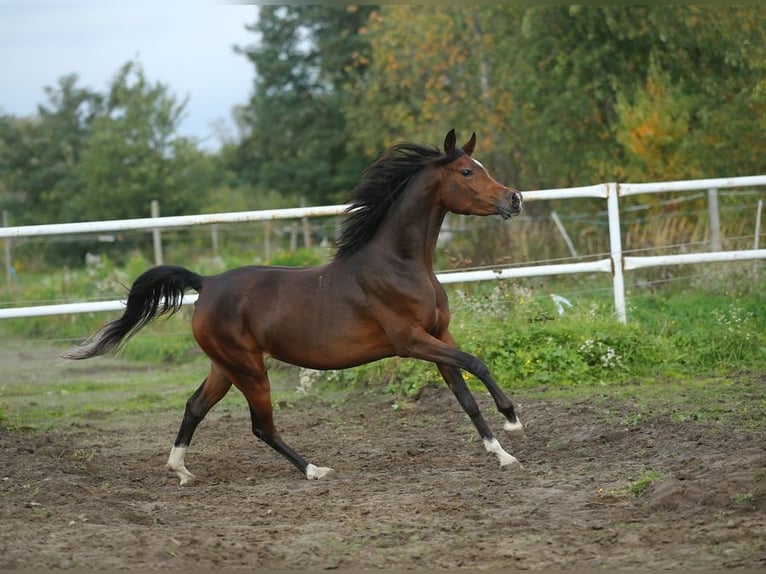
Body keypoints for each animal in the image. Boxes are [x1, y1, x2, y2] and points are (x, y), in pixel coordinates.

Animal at [63, 130, 524, 486]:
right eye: (467, 172)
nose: (515, 199)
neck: (399, 265)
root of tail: (206, 283)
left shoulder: (438, 335)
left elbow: (464, 396)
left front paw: (502, 455)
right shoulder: (411, 341)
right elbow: (477, 362)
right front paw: (513, 419)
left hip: (225, 367)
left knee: (195, 406)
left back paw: (181, 471)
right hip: (250, 370)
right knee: (261, 426)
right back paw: (314, 470)